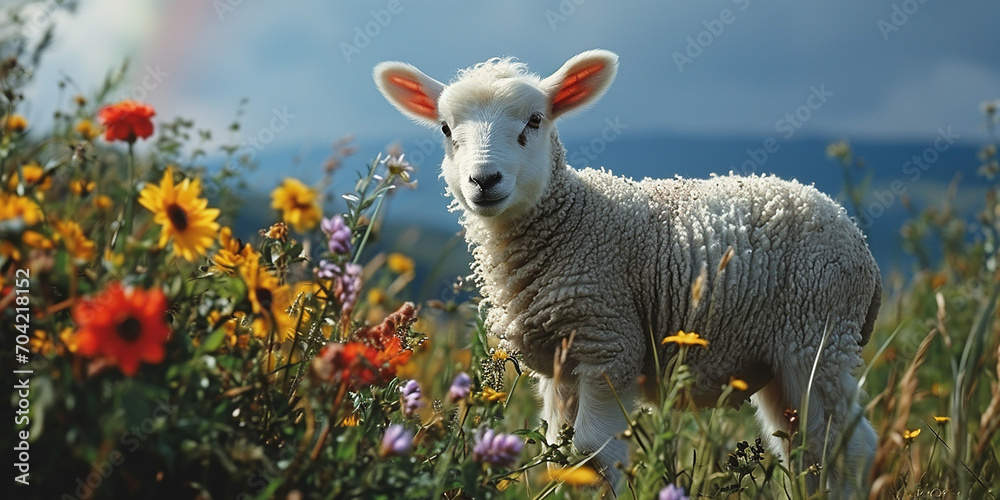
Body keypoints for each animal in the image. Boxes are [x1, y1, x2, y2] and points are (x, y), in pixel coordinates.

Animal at [373, 49, 881, 496]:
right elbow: (559, 453)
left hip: (816, 335)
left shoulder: (608, 338)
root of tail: (860, 244)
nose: (484, 181)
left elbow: (591, 454)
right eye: (445, 129)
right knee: (805, 449)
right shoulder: (560, 363)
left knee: (849, 446)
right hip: (781, 357)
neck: (571, 221)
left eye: (534, 121)